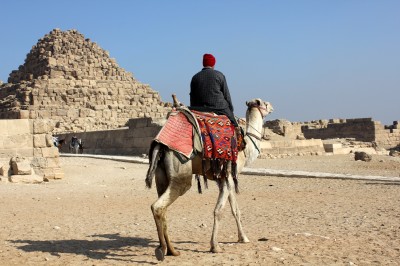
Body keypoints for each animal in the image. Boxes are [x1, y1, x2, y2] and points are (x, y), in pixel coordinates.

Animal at [145, 97, 274, 260]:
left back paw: (172, 250)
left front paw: (243, 238)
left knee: (163, 208)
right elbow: (218, 210)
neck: (246, 147)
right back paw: (162, 250)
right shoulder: (228, 176)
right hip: (181, 174)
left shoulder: (224, 179)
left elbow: (235, 209)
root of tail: (160, 145)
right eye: (265, 103)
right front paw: (215, 246)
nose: (272, 107)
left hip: (161, 177)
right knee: (158, 206)